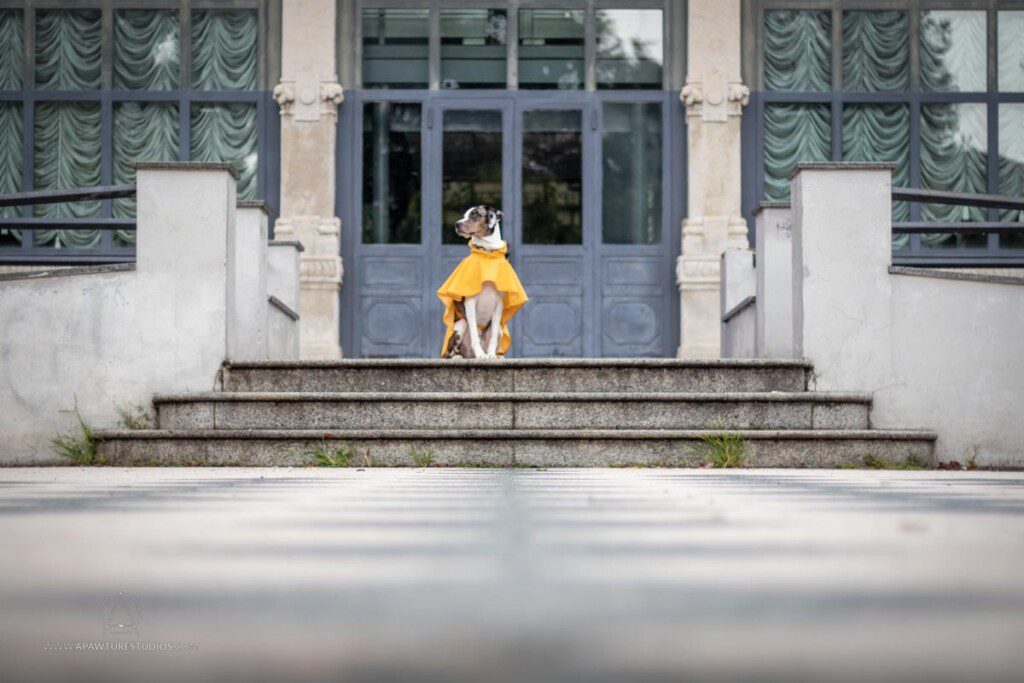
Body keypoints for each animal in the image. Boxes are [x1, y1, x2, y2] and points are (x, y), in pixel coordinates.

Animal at [436, 205, 528, 360]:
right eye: (464, 215)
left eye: (474, 215)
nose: (456, 224)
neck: (487, 253)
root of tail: (469, 355)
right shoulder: (470, 302)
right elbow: (474, 333)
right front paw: (481, 355)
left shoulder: (498, 305)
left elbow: (493, 337)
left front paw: (490, 355)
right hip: (460, 324)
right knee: (452, 351)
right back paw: (460, 356)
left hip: (500, 330)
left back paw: (496, 355)